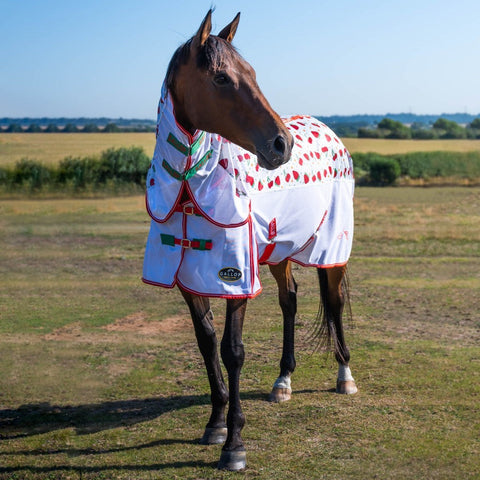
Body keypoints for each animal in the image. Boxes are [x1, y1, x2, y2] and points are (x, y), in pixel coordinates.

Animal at [142, 9, 356, 470]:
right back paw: (283, 380)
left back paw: (345, 376)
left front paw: (234, 443)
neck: (189, 189)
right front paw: (215, 424)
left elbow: (232, 350)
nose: (282, 144)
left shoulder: (235, 277)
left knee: (334, 303)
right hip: (278, 253)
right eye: (222, 78)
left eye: (253, 74)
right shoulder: (190, 280)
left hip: (332, 252)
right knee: (290, 299)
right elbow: (206, 345)